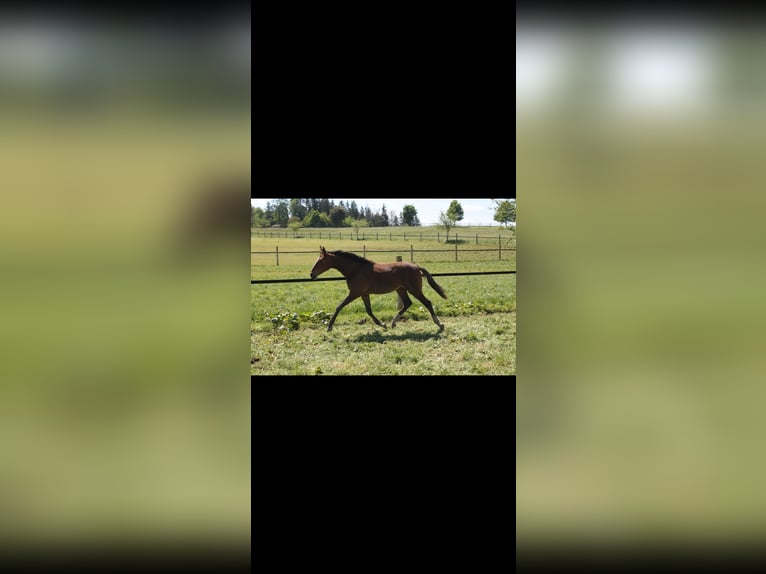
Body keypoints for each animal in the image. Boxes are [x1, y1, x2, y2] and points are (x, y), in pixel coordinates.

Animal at [310, 246, 448, 332]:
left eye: (321, 261)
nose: (312, 274)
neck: (355, 270)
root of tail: (416, 266)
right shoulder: (364, 294)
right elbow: (369, 311)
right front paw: (383, 325)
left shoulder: (354, 293)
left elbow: (339, 307)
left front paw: (329, 327)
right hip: (401, 289)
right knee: (407, 303)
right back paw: (393, 323)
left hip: (414, 290)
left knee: (427, 303)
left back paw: (439, 324)